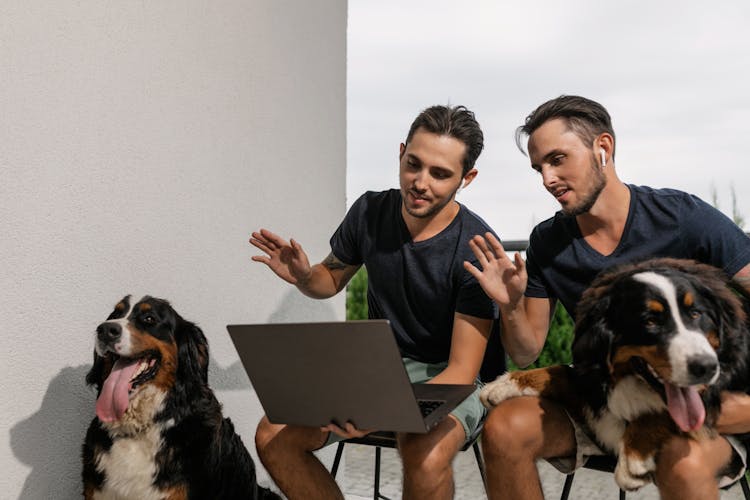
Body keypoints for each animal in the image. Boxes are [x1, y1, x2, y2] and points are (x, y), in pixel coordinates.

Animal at [484, 260, 748, 490]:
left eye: (695, 314)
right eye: (650, 321)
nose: (707, 367)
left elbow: (660, 411)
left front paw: (633, 458)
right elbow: (560, 372)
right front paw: (506, 383)